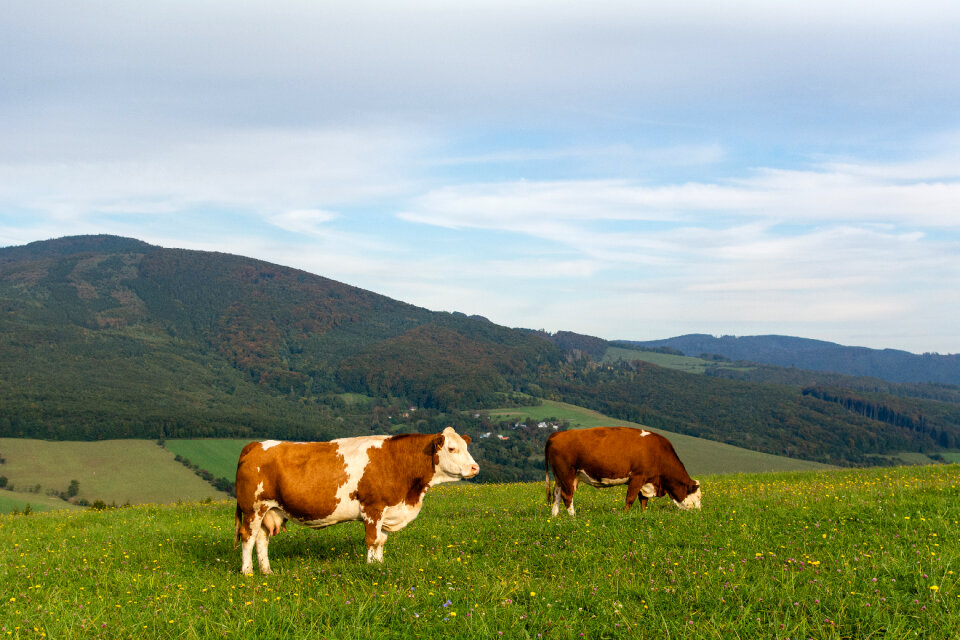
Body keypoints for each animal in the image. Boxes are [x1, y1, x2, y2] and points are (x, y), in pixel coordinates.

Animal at [233, 428, 480, 572]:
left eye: (466, 446)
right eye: (451, 448)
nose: (475, 467)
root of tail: (255, 445)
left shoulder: (388, 510)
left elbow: (381, 541)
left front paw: (380, 566)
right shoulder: (373, 507)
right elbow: (372, 540)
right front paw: (371, 568)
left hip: (270, 510)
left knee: (261, 539)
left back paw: (267, 572)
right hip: (253, 508)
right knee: (248, 537)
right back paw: (247, 573)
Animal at [544, 428, 700, 516]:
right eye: (698, 496)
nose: (699, 512)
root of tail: (557, 434)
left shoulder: (646, 481)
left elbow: (643, 500)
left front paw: (644, 515)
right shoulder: (637, 477)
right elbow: (630, 498)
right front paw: (625, 515)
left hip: (559, 476)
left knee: (556, 495)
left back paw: (555, 516)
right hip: (566, 474)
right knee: (567, 496)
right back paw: (573, 517)